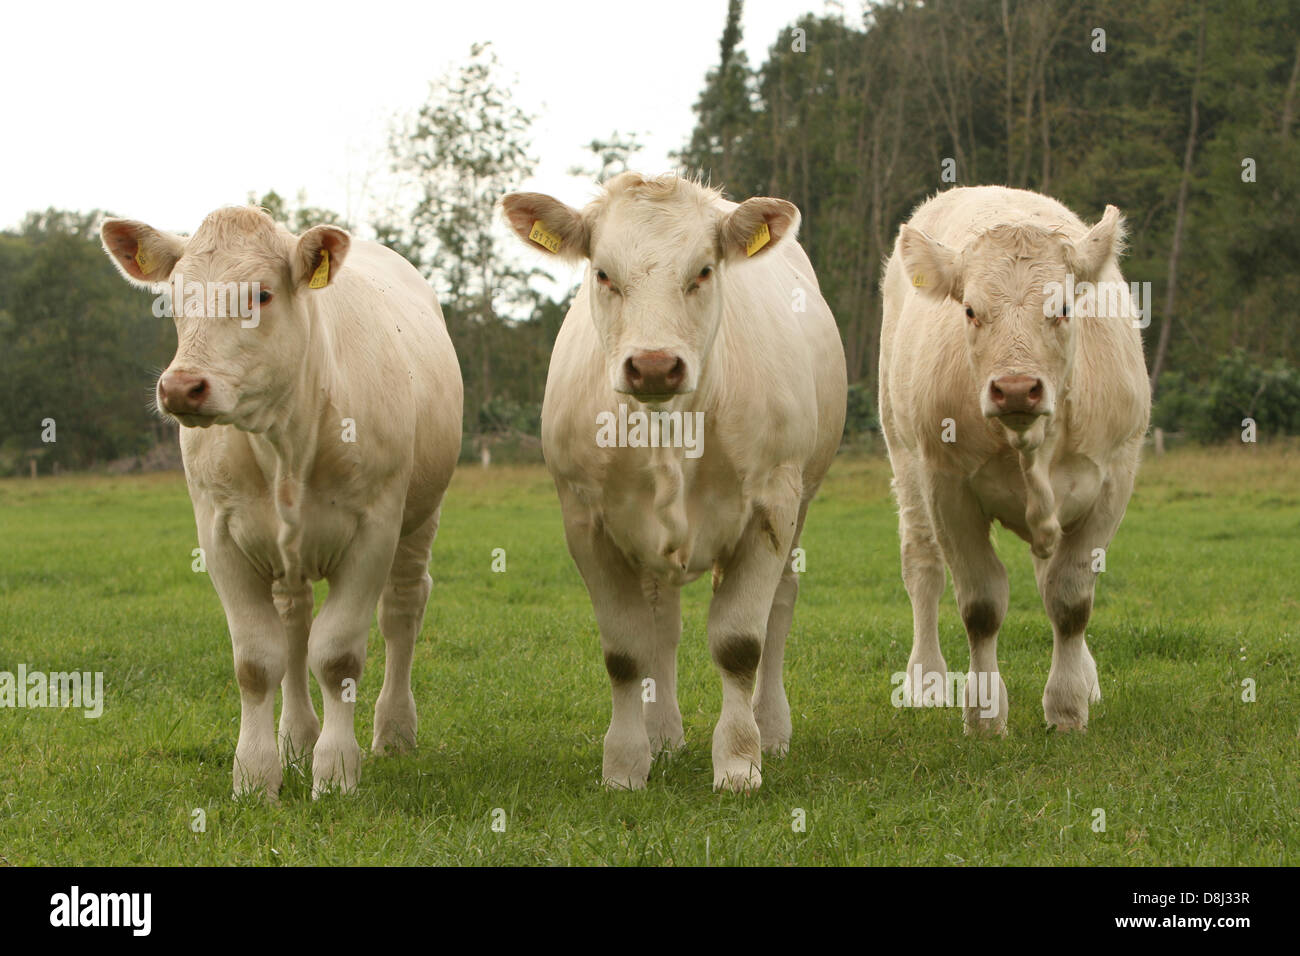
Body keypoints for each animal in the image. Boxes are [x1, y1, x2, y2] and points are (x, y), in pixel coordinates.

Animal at [104, 209, 465, 801]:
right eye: (175, 298)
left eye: (261, 295)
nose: (181, 387)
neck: (284, 440)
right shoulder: (220, 536)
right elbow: (257, 661)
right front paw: (255, 776)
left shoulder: (373, 531)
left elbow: (338, 656)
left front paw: (335, 772)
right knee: (295, 626)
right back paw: (295, 737)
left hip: (421, 518)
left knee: (403, 610)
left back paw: (393, 730)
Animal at [501, 174, 847, 790]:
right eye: (603, 273)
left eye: (704, 270)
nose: (655, 365)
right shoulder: (585, 521)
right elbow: (625, 650)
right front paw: (624, 765)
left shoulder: (771, 506)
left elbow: (739, 644)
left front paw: (739, 762)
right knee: (661, 622)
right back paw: (662, 735)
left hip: (801, 500)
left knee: (779, 607)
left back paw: (771, 729)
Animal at [883, 184, 1149, 733]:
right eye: (969, 310)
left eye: (1063, 307)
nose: (1016, 389)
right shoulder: (949, 488)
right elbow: (981, 605)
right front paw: (985, 716)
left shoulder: (1113, 480)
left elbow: (1070, 599)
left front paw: (1067, 706)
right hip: (903, 453)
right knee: (922, 568)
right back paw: (926, 679)